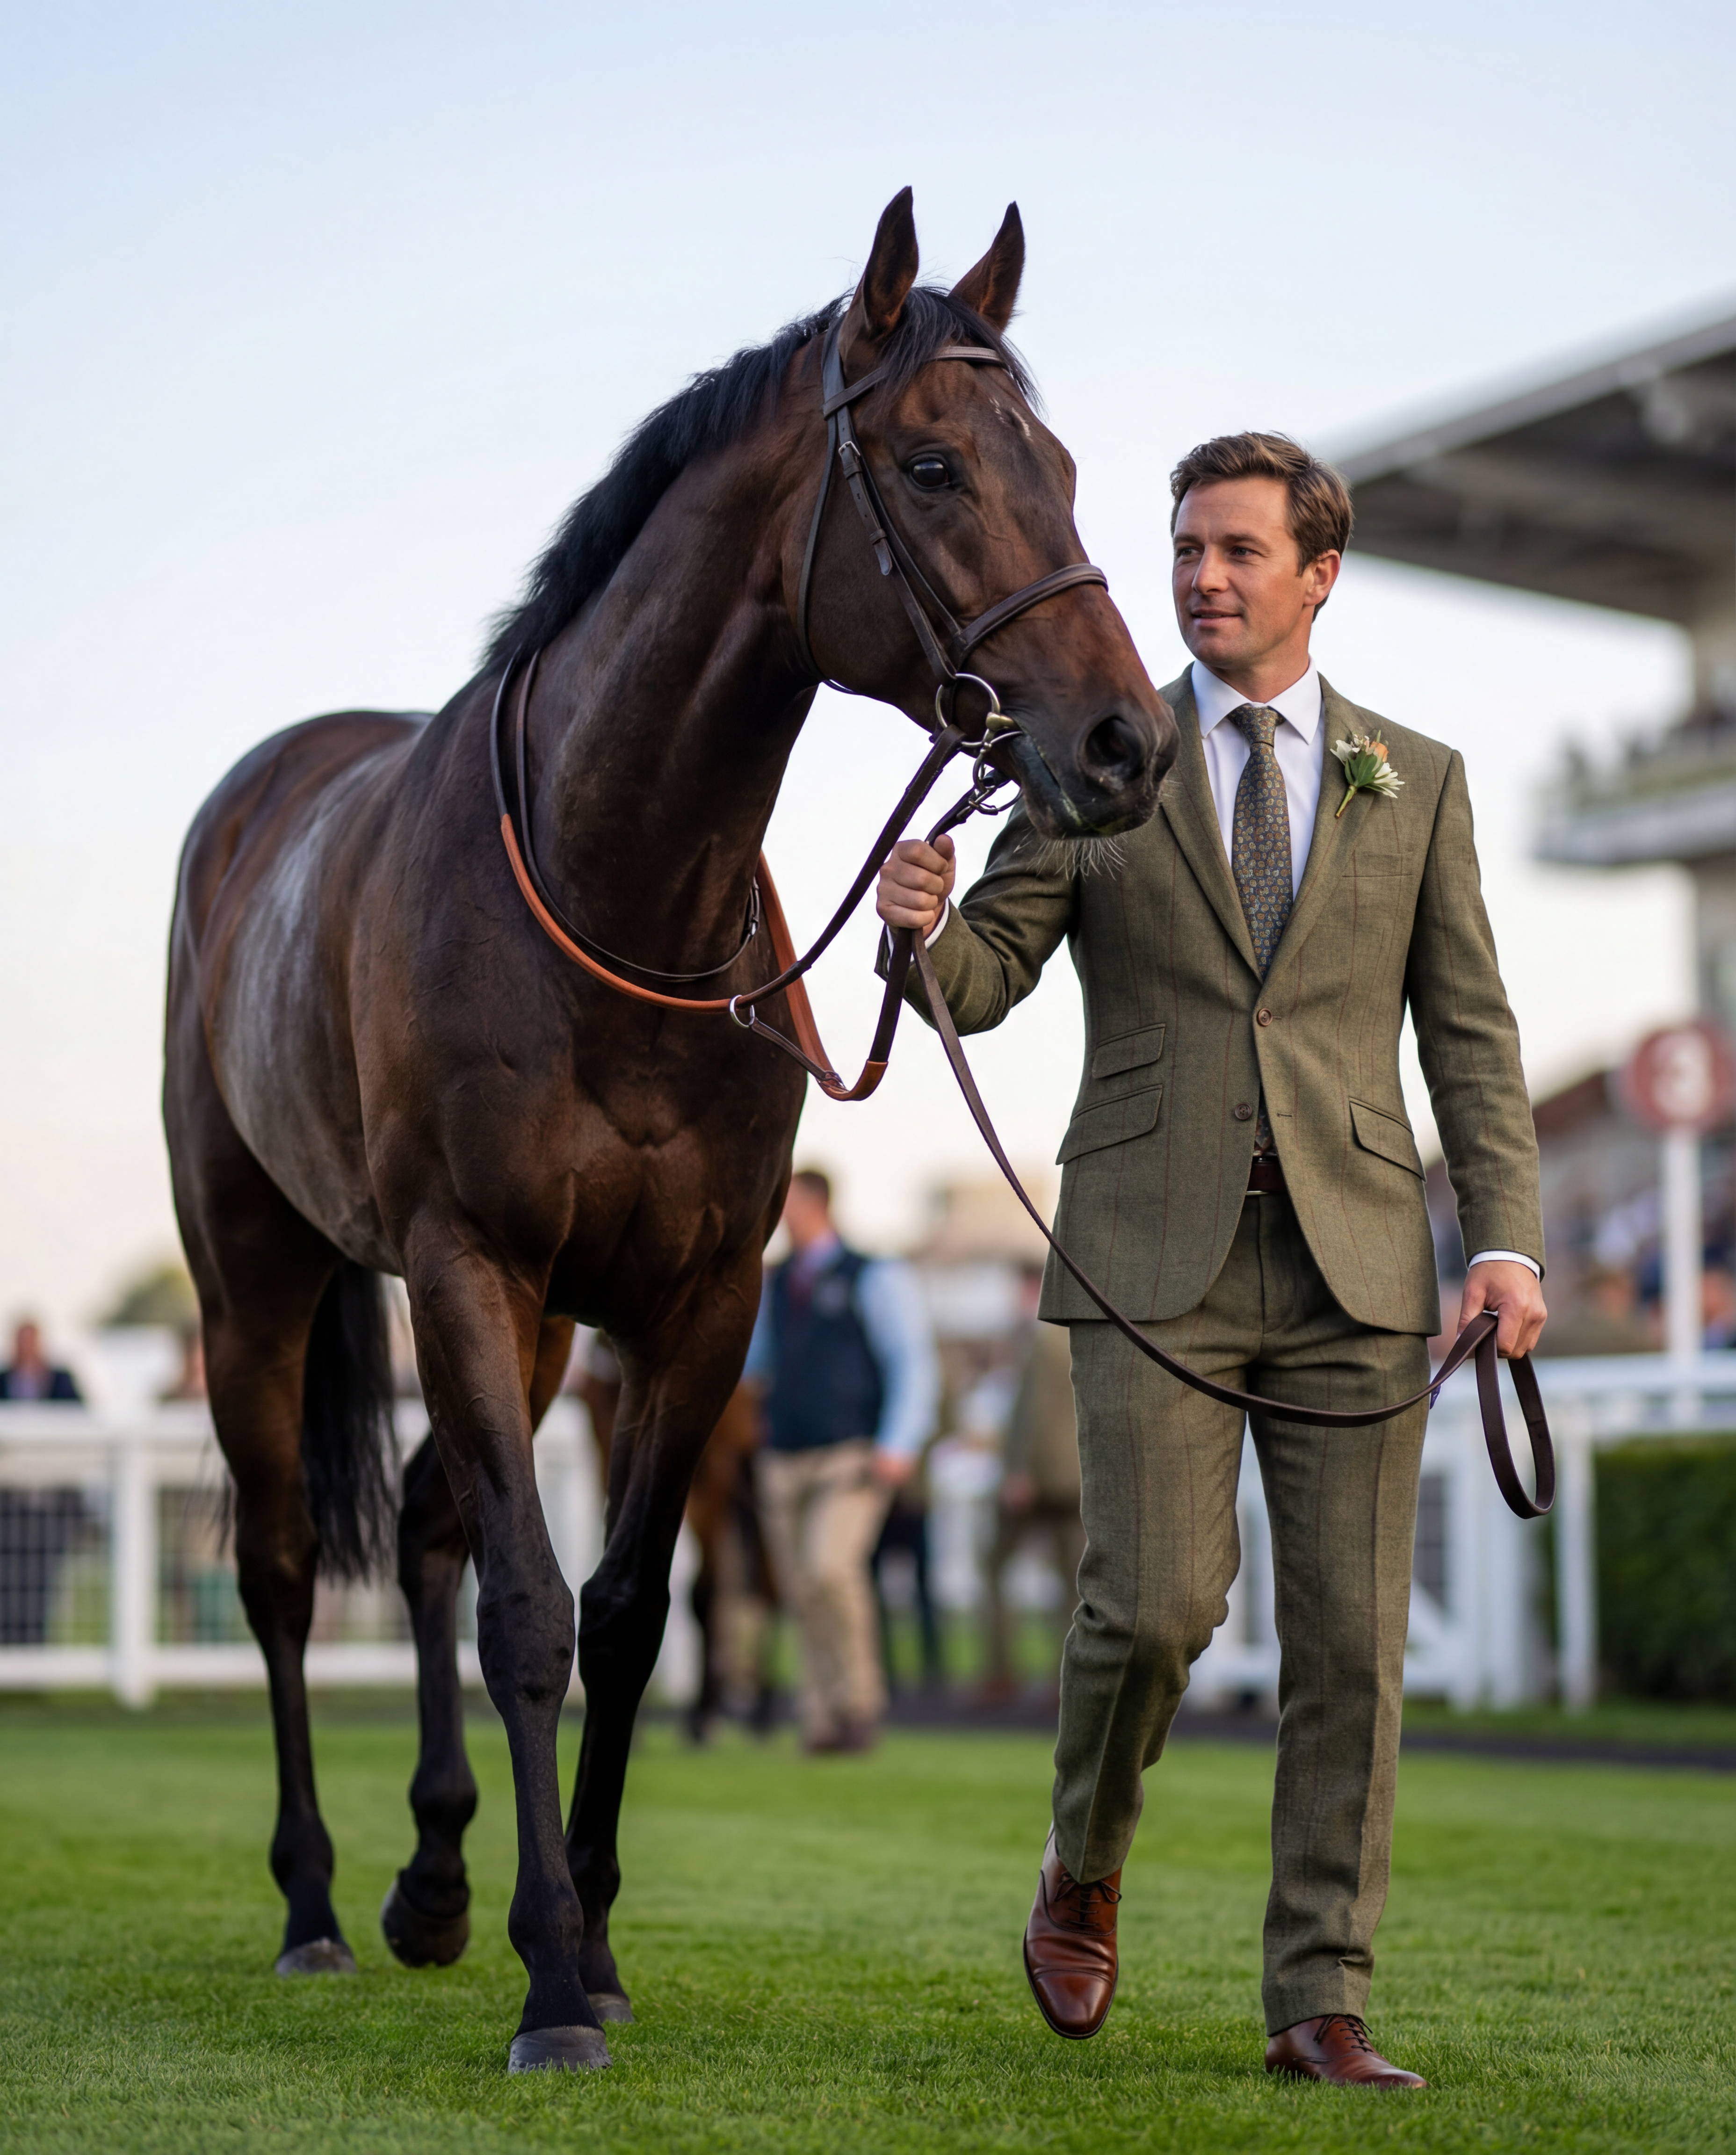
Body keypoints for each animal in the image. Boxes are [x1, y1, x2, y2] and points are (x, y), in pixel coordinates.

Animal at [163, 187, 1175, 2072]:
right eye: (933, 465)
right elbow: (532, 1608)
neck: (607, 875)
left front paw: (591, 1932)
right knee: (282, 1567)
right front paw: (557, 1984)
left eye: (1064, 466)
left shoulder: (693, 1300)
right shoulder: (466, 1263)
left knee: (425, 1517)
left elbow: (628, 1613)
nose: (1125, 742)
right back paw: (318, 1904)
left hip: (550, 1326)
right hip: (257, 1282)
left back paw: (431, 1881)